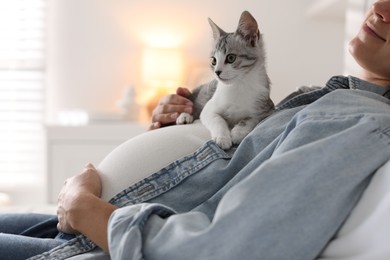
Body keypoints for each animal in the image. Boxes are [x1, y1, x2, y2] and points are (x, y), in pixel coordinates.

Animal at [177, 11, 274, 149]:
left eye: (231, 58)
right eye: (213, 60)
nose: (217, 72)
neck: (239, 85)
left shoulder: (267, 108)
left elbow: (251, 118)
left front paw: (238, 132)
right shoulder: (209, 109)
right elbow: (217, 119)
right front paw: (222, 137)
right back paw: (185, 116)